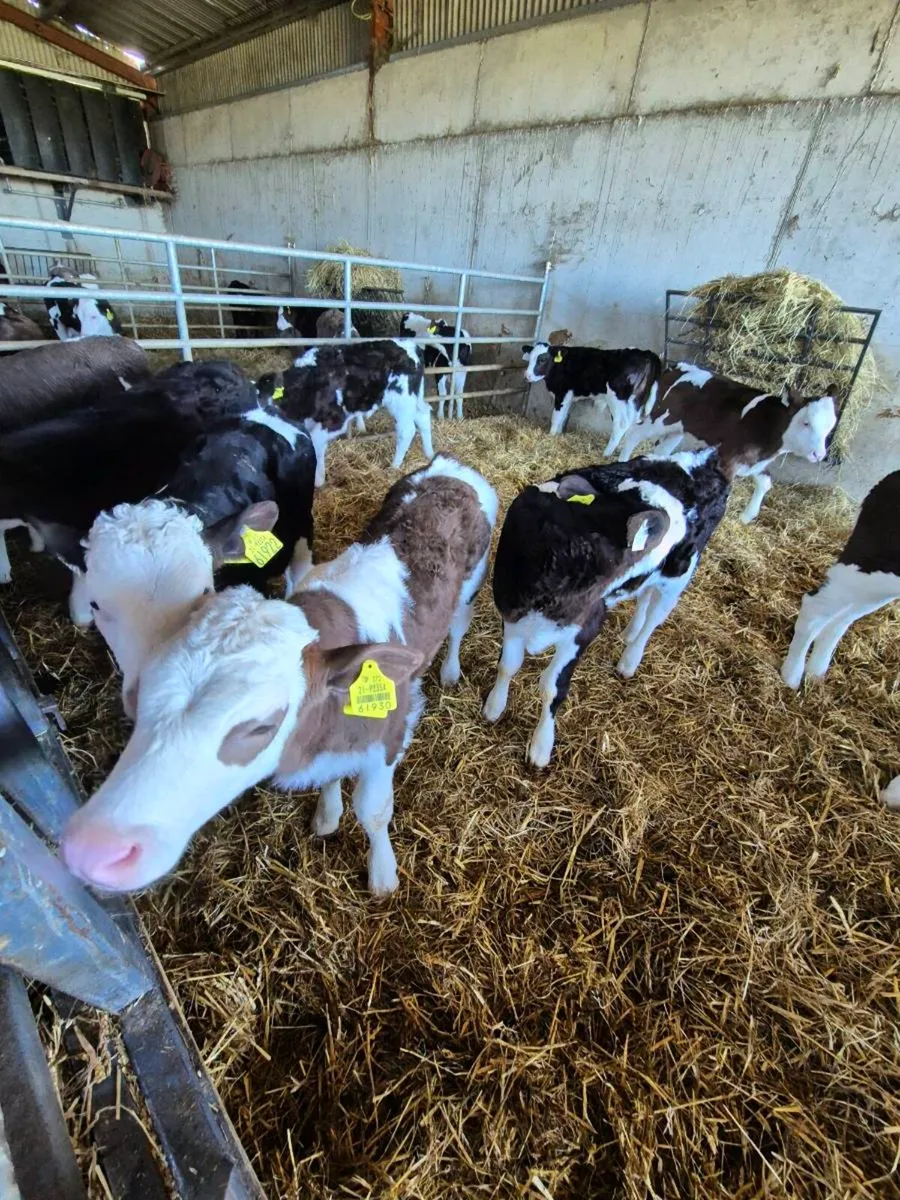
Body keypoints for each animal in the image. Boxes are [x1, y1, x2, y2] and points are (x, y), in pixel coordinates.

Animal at [59, 455, 499, 896]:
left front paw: (383, 874)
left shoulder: (391, 735)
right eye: (144, 697)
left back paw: (451, 670)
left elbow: (373, 811)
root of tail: (449, 465)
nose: (94, 848)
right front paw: (327, 813)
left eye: (262, 726)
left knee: (458, 627)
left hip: (472, 587)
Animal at [257, 339, 431, 487]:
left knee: (407, 431)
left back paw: (394, 467)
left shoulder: (334, 420)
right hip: (412, 400)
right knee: (423, 417)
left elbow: (316, 445)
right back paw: (429, 455)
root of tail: (411, 344)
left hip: (401, 400)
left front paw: (318, 481)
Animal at [483, 449, 729, 767]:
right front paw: (494, 706)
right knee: (643, 598)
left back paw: (630, 659)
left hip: (678, 576)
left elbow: (552, 687)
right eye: (655, 527)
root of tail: (707, 456)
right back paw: (630, 632)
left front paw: (541, 747)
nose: (688, 522)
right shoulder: (513, 611)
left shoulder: (586, 627)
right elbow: (507, 665)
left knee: (654, 618)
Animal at [522, 342, 662, 452]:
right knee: (633, 422)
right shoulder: (569, 396)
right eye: (530, 359)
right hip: (637, 400)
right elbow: (564, 416)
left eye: (542, 359)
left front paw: (550, 436)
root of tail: (646, 353)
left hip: (619, 398)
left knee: (621, 423)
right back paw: (622, 448)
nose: (527, 376)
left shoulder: (562, 394)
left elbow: (556, 417)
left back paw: (606, 453)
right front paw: (558, 435)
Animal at [615, 363, 839, 523]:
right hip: (660, 418)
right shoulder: (728, 457)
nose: (819, 454)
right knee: (633, 434)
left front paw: (747, 517)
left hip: (676, 430)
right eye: (806, 423)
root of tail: (678, 367)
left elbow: (764, 482)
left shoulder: (754, 460)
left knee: (662, 449)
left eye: (830, 426)